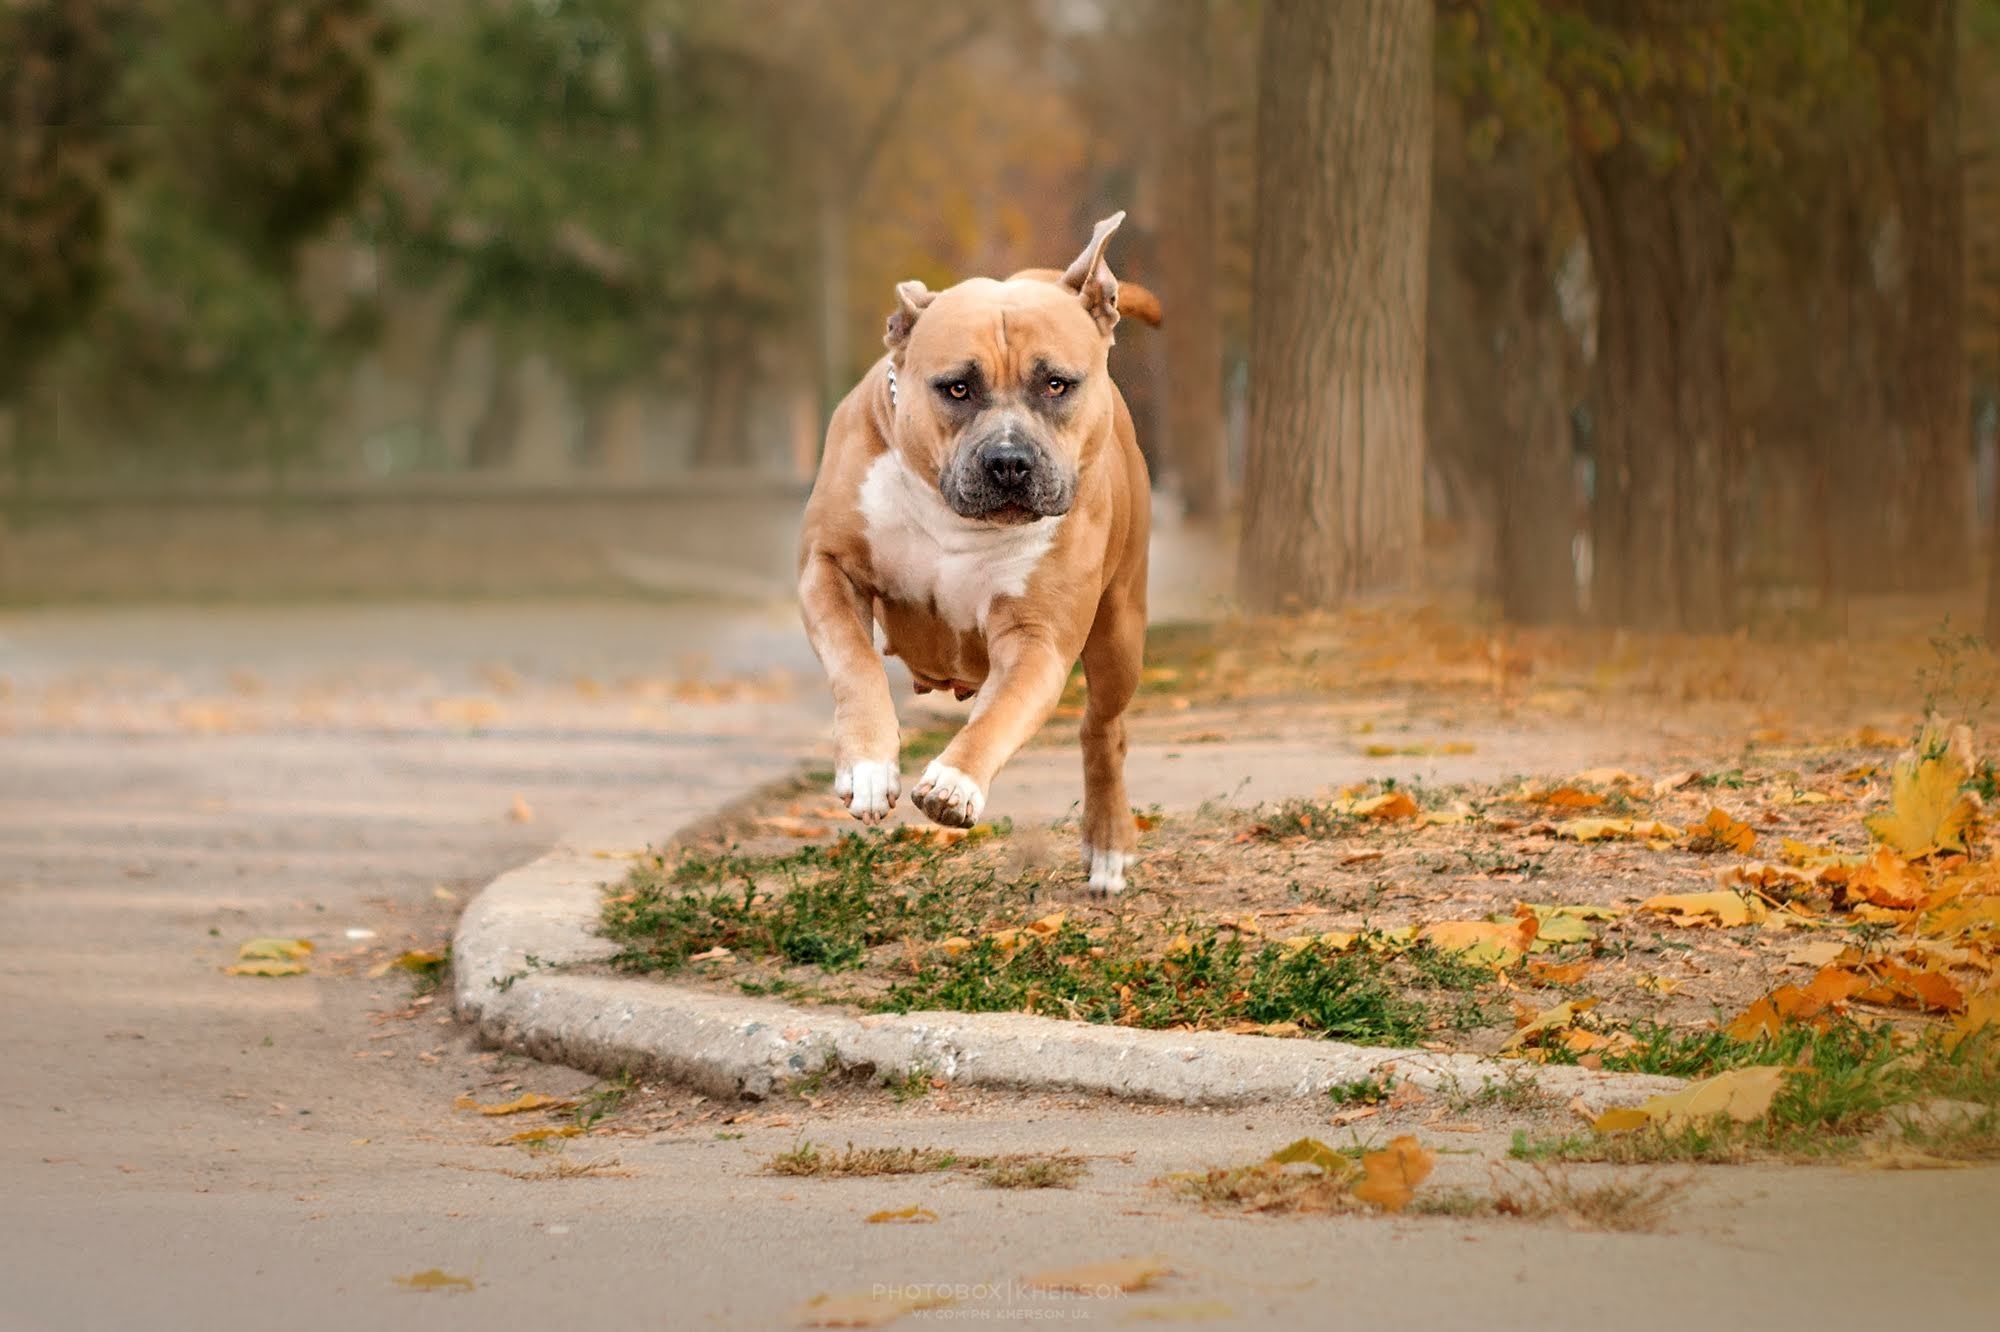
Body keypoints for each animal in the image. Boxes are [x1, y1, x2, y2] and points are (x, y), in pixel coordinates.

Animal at [796, 213, 1160, 888]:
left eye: (1056, 384)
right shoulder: (828, 570)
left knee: (1103, 730)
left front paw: (955, 782)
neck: (956, 520)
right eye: (957, 388)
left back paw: (1108, 843)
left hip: (1120, 632)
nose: (1009, 460)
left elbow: (1002, 711)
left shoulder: (1038, 636)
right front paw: (868, 766)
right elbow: (854, 663)